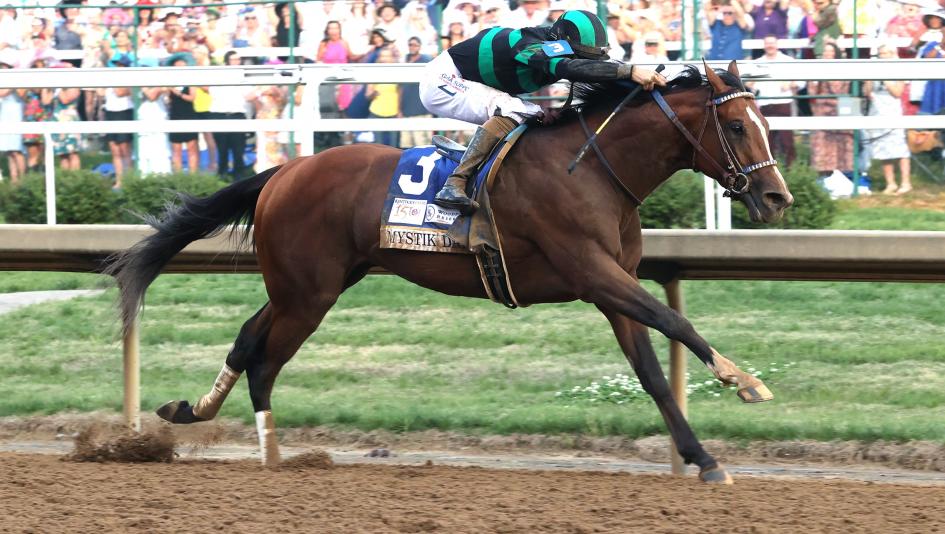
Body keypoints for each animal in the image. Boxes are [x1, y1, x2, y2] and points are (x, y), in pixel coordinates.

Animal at [107, 60, 793, 483]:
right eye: (737, 125)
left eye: (768, 123)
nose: (779, 198)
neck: (594, 168)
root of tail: (284, 169)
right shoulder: (593, 272)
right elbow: (673, 320)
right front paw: (743, 380)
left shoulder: (608, 286)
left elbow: (651, 371)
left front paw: (703, 458)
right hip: (309, 294)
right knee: (265, 358)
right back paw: (269, 451)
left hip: (310, 284)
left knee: (248, 339)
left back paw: (195, 411)